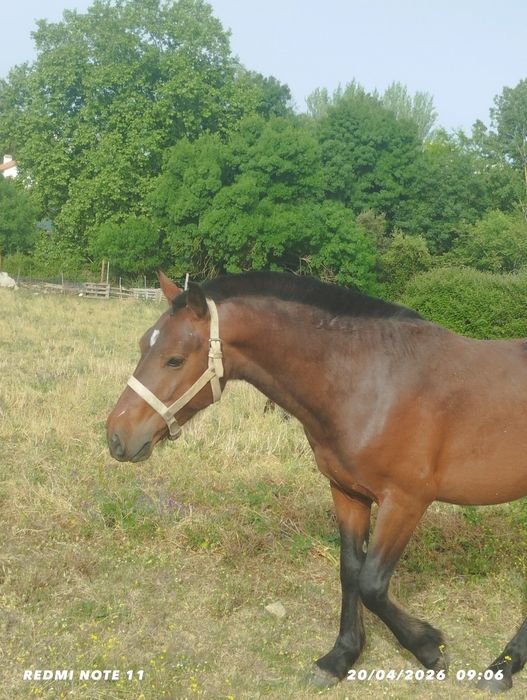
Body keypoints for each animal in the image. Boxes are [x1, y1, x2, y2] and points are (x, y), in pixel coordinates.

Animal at [106, 270, 527, 692]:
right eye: (143, 344)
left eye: (175, 359)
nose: (116, 437)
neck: (372, 381)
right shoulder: (348, 493)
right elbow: (351, 572)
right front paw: (340, 658)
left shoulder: (406, 501)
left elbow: (373, 585)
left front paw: (428, 646)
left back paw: (502, 667)